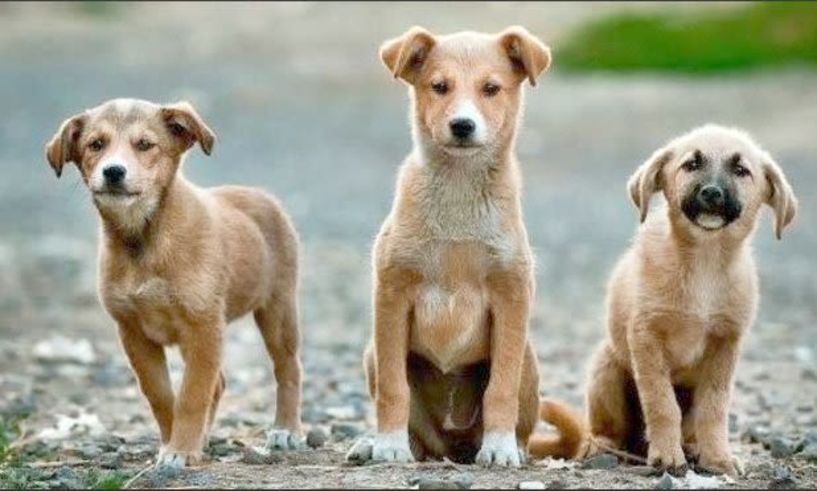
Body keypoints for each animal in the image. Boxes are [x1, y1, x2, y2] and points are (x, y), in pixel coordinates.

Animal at [356, 25, 568, 468]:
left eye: (491, 88)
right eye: (439, 86)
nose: (462, 125)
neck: (458, 190)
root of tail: (452, 447)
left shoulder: (511, 297)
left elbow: (500, 388)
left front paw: (500, 447)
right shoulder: (392, 294)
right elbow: (393, 387)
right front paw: (388, 443)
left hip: (528, 358)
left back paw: (511, 446)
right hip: (372, 353)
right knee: (418, 434)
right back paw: (380, 444)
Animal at [536, 126, 796, 476]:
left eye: (741, 170)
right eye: (691, 164)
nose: (712, 193)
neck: (704, 262)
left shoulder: (725, 344)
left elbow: (714, 409)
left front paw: (718, 458)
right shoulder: (646, 337)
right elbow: (661, 403)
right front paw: (667, 456)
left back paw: (692, 447)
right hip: (607, 368)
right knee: (605, 429)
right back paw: (603, 448)